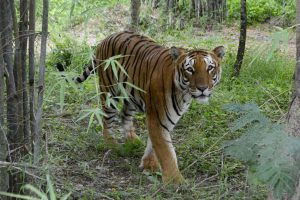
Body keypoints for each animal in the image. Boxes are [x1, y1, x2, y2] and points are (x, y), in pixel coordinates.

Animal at [74, 30, 225, 183]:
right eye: (190, 69)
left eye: (210, 68)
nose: (202, 88)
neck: (184, 94)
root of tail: (106, 38)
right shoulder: (157, 118)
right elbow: (166, 152)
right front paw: (175, 180)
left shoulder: (166, 120)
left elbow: (154, 144)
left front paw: (149, 164)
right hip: (109, 92)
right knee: (106, 119)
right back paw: (112, 145)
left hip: (131, 95)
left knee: (124, 115)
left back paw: (133, 140)